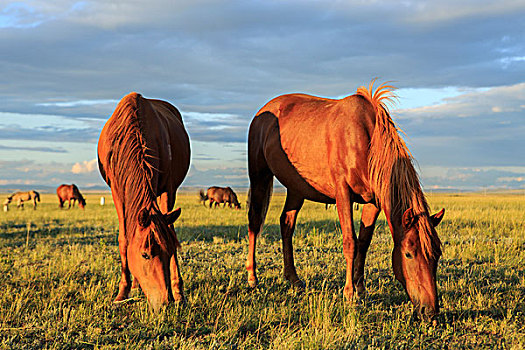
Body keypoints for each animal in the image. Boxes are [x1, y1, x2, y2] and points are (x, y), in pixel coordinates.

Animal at [97, 91, 189, 310]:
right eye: (145, 254)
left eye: (170, 252)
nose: (165, 302)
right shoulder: (117, 191)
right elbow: (124, 238)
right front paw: (123, 292)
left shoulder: (168, 189)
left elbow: (171, 232)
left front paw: (178, 291)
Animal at [245, 81, 442, 320]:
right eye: (409, 254)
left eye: (437, 255)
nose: (430, 311)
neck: (366, 140)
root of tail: (262, 112)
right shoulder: (343, 193)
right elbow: (350, 242)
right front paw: (349, 293)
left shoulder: (373, 202)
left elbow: (363, 243)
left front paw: (361, 289)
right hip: (260, 176)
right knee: (255, 222)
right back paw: (252, 278)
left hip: (296, 188)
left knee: (286, 224)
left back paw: (293, 278)